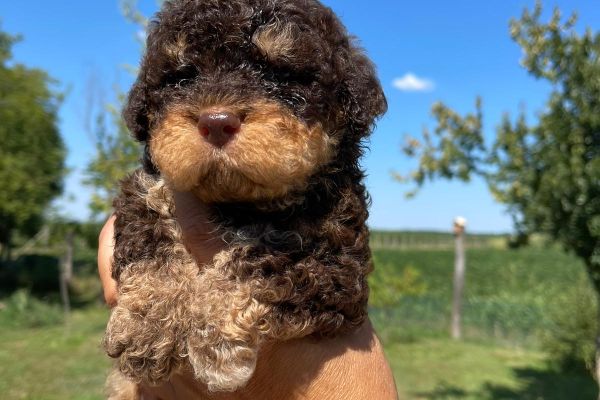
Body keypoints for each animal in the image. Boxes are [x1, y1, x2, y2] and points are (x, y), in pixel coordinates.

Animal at [103, 0, 386, 396]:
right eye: (182, 78)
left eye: (281, 76)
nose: (216, 121)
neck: (235, 201)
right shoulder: (145, 188)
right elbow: (148, 241)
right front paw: (147, 327)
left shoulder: (336, 260)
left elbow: (260, 265)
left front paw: (215, 342)